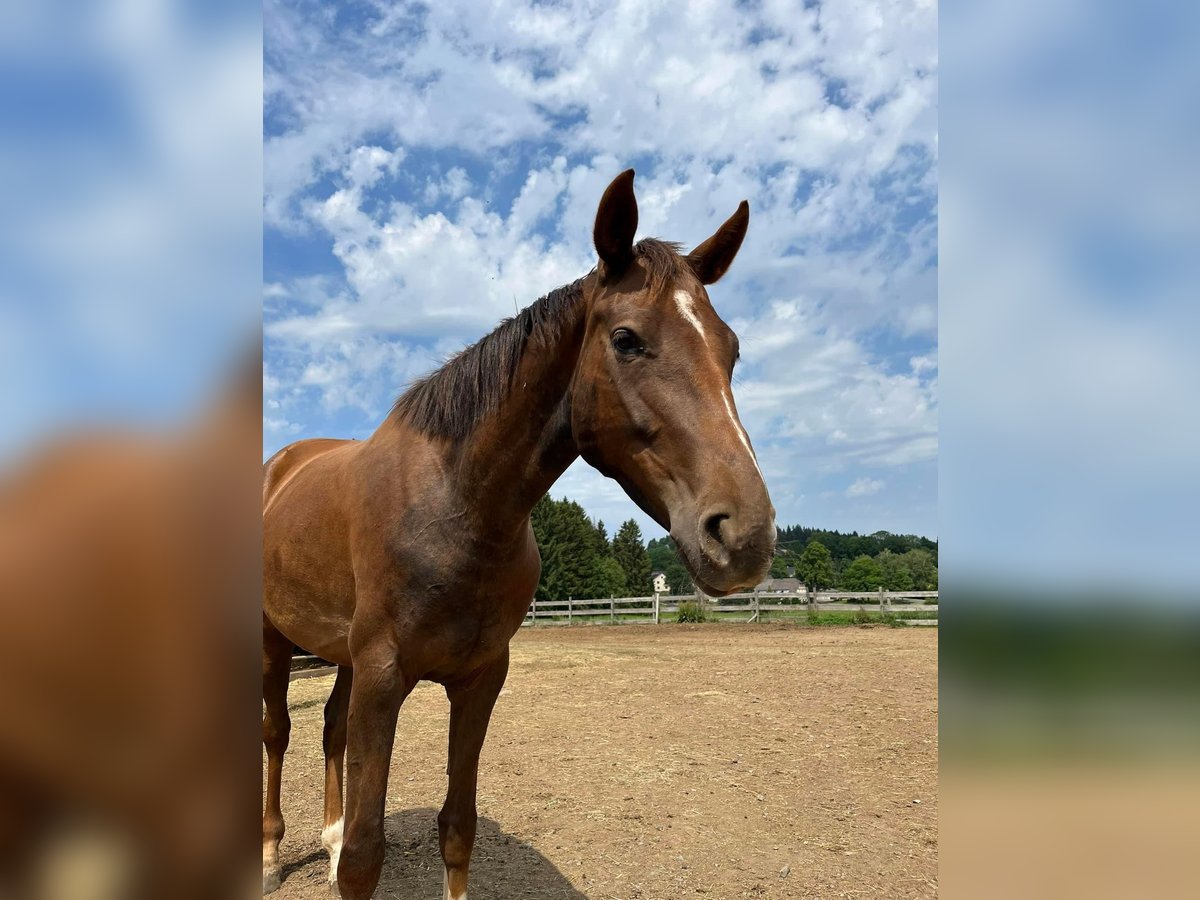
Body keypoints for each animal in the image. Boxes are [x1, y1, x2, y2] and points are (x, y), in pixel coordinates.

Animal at [260, 170, 777, 900]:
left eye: (730, 350)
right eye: (626, 339)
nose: (745, 534)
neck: (459, 508)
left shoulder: (479, 680)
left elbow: (457, 829)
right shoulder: (384, 678)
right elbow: (365, 855)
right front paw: (340, 854)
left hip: (341, 656)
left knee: (329, 729)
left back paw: (325, 838)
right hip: (275, 641)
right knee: (277, 733)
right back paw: (271, 854)